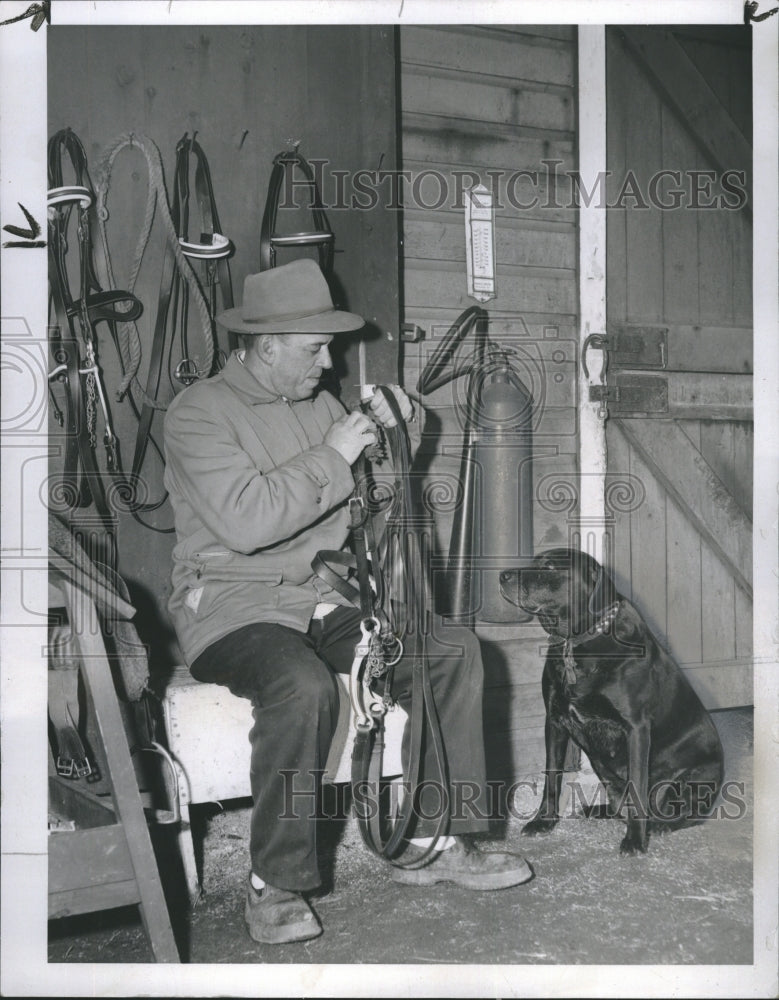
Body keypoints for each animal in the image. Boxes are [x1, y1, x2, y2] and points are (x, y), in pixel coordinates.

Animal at [500, 548, 724, 852]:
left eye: (549, 567)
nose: (502, 576)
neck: (577, 643)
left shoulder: (636, 729)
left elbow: (637, 783)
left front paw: (636, 840)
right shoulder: (555, 721)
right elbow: (552, 776)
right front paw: (543, 821)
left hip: (693, 779)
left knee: (687, 815)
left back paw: (658, 825)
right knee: (620, 805)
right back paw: (598, 809)